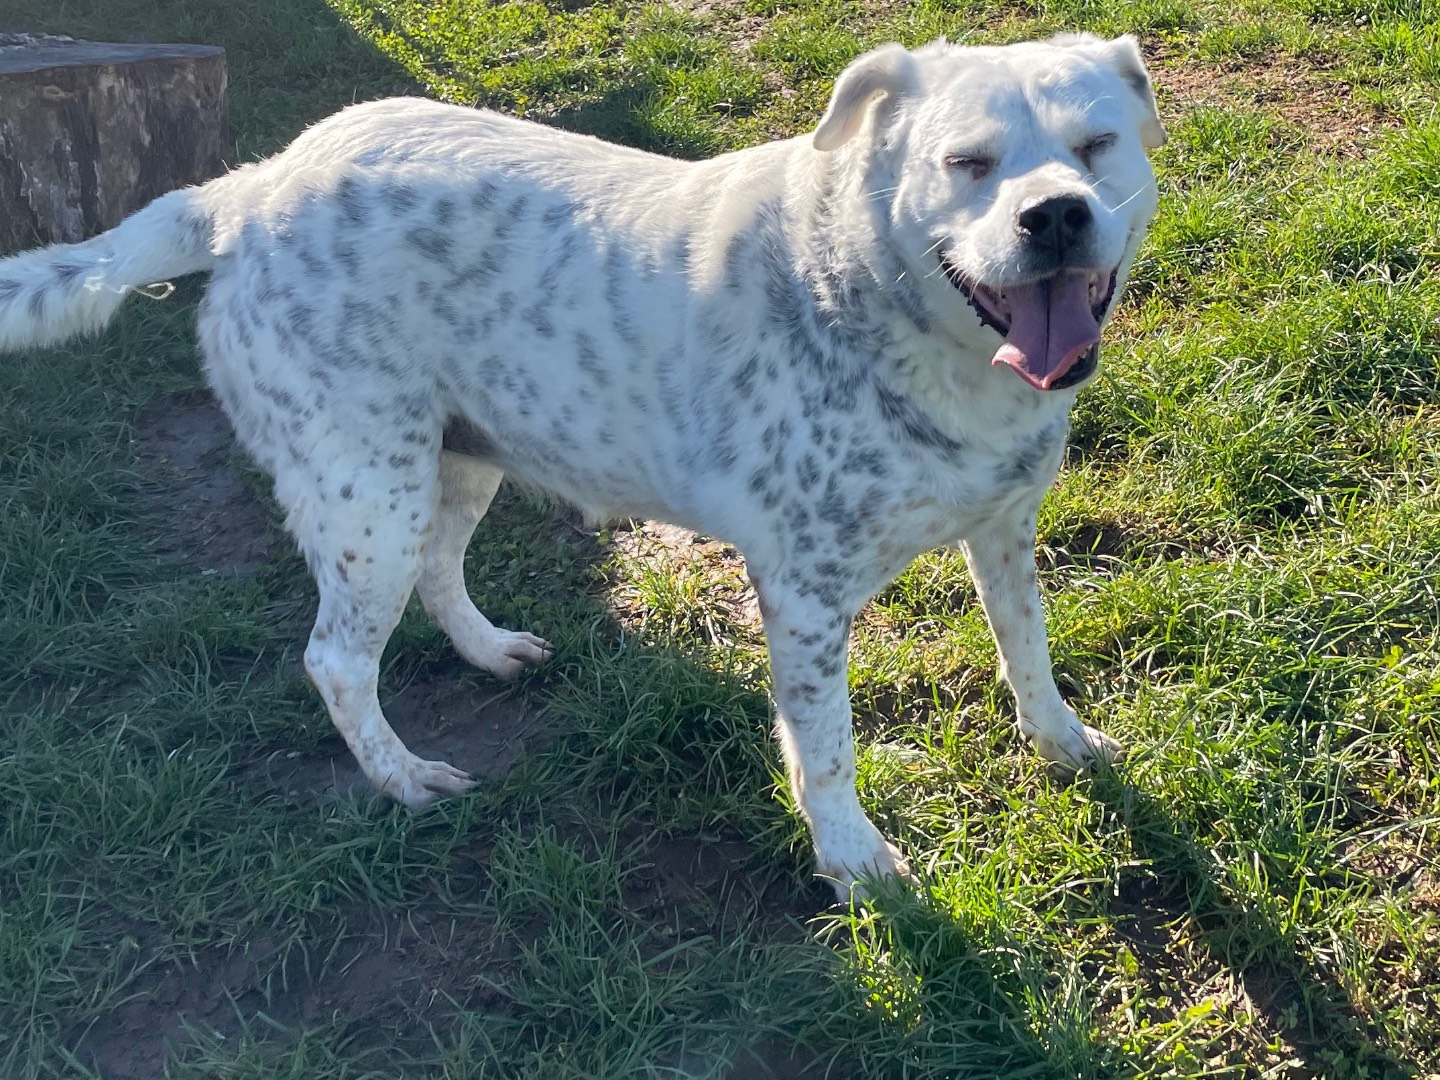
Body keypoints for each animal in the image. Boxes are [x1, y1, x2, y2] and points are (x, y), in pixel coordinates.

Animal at [0, 31, 1163, 898]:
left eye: (1096, 144)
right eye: (967, 163)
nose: (1055, 215)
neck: (889, 302)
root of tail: (248, 191)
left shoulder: (1006, 531)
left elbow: (1028, 650)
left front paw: (1063, 742)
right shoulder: (804, 594)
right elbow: (825, 745)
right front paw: (852, 861)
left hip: (460, 459)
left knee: (439, 575)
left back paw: (490, 653)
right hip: (368, 498)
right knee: (335, 659)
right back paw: (405, 780)